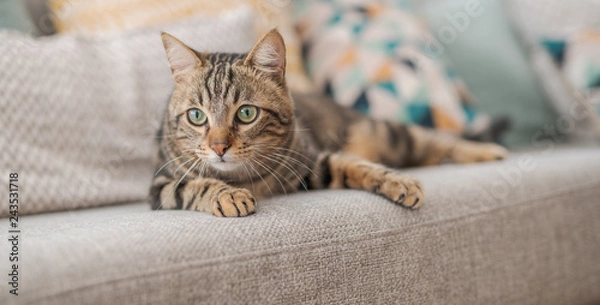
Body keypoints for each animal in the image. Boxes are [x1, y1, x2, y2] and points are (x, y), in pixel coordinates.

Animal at [150, 29, 506, 216]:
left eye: (246, 113)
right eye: (197, 116)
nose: (219, 147)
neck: (244, 177)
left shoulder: (312, 162)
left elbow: (354, 164)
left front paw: (397, 181)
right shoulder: (160, 187)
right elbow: (195, 185)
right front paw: (227, 196)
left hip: (388, 133)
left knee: (436, 141)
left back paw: (486, 151)